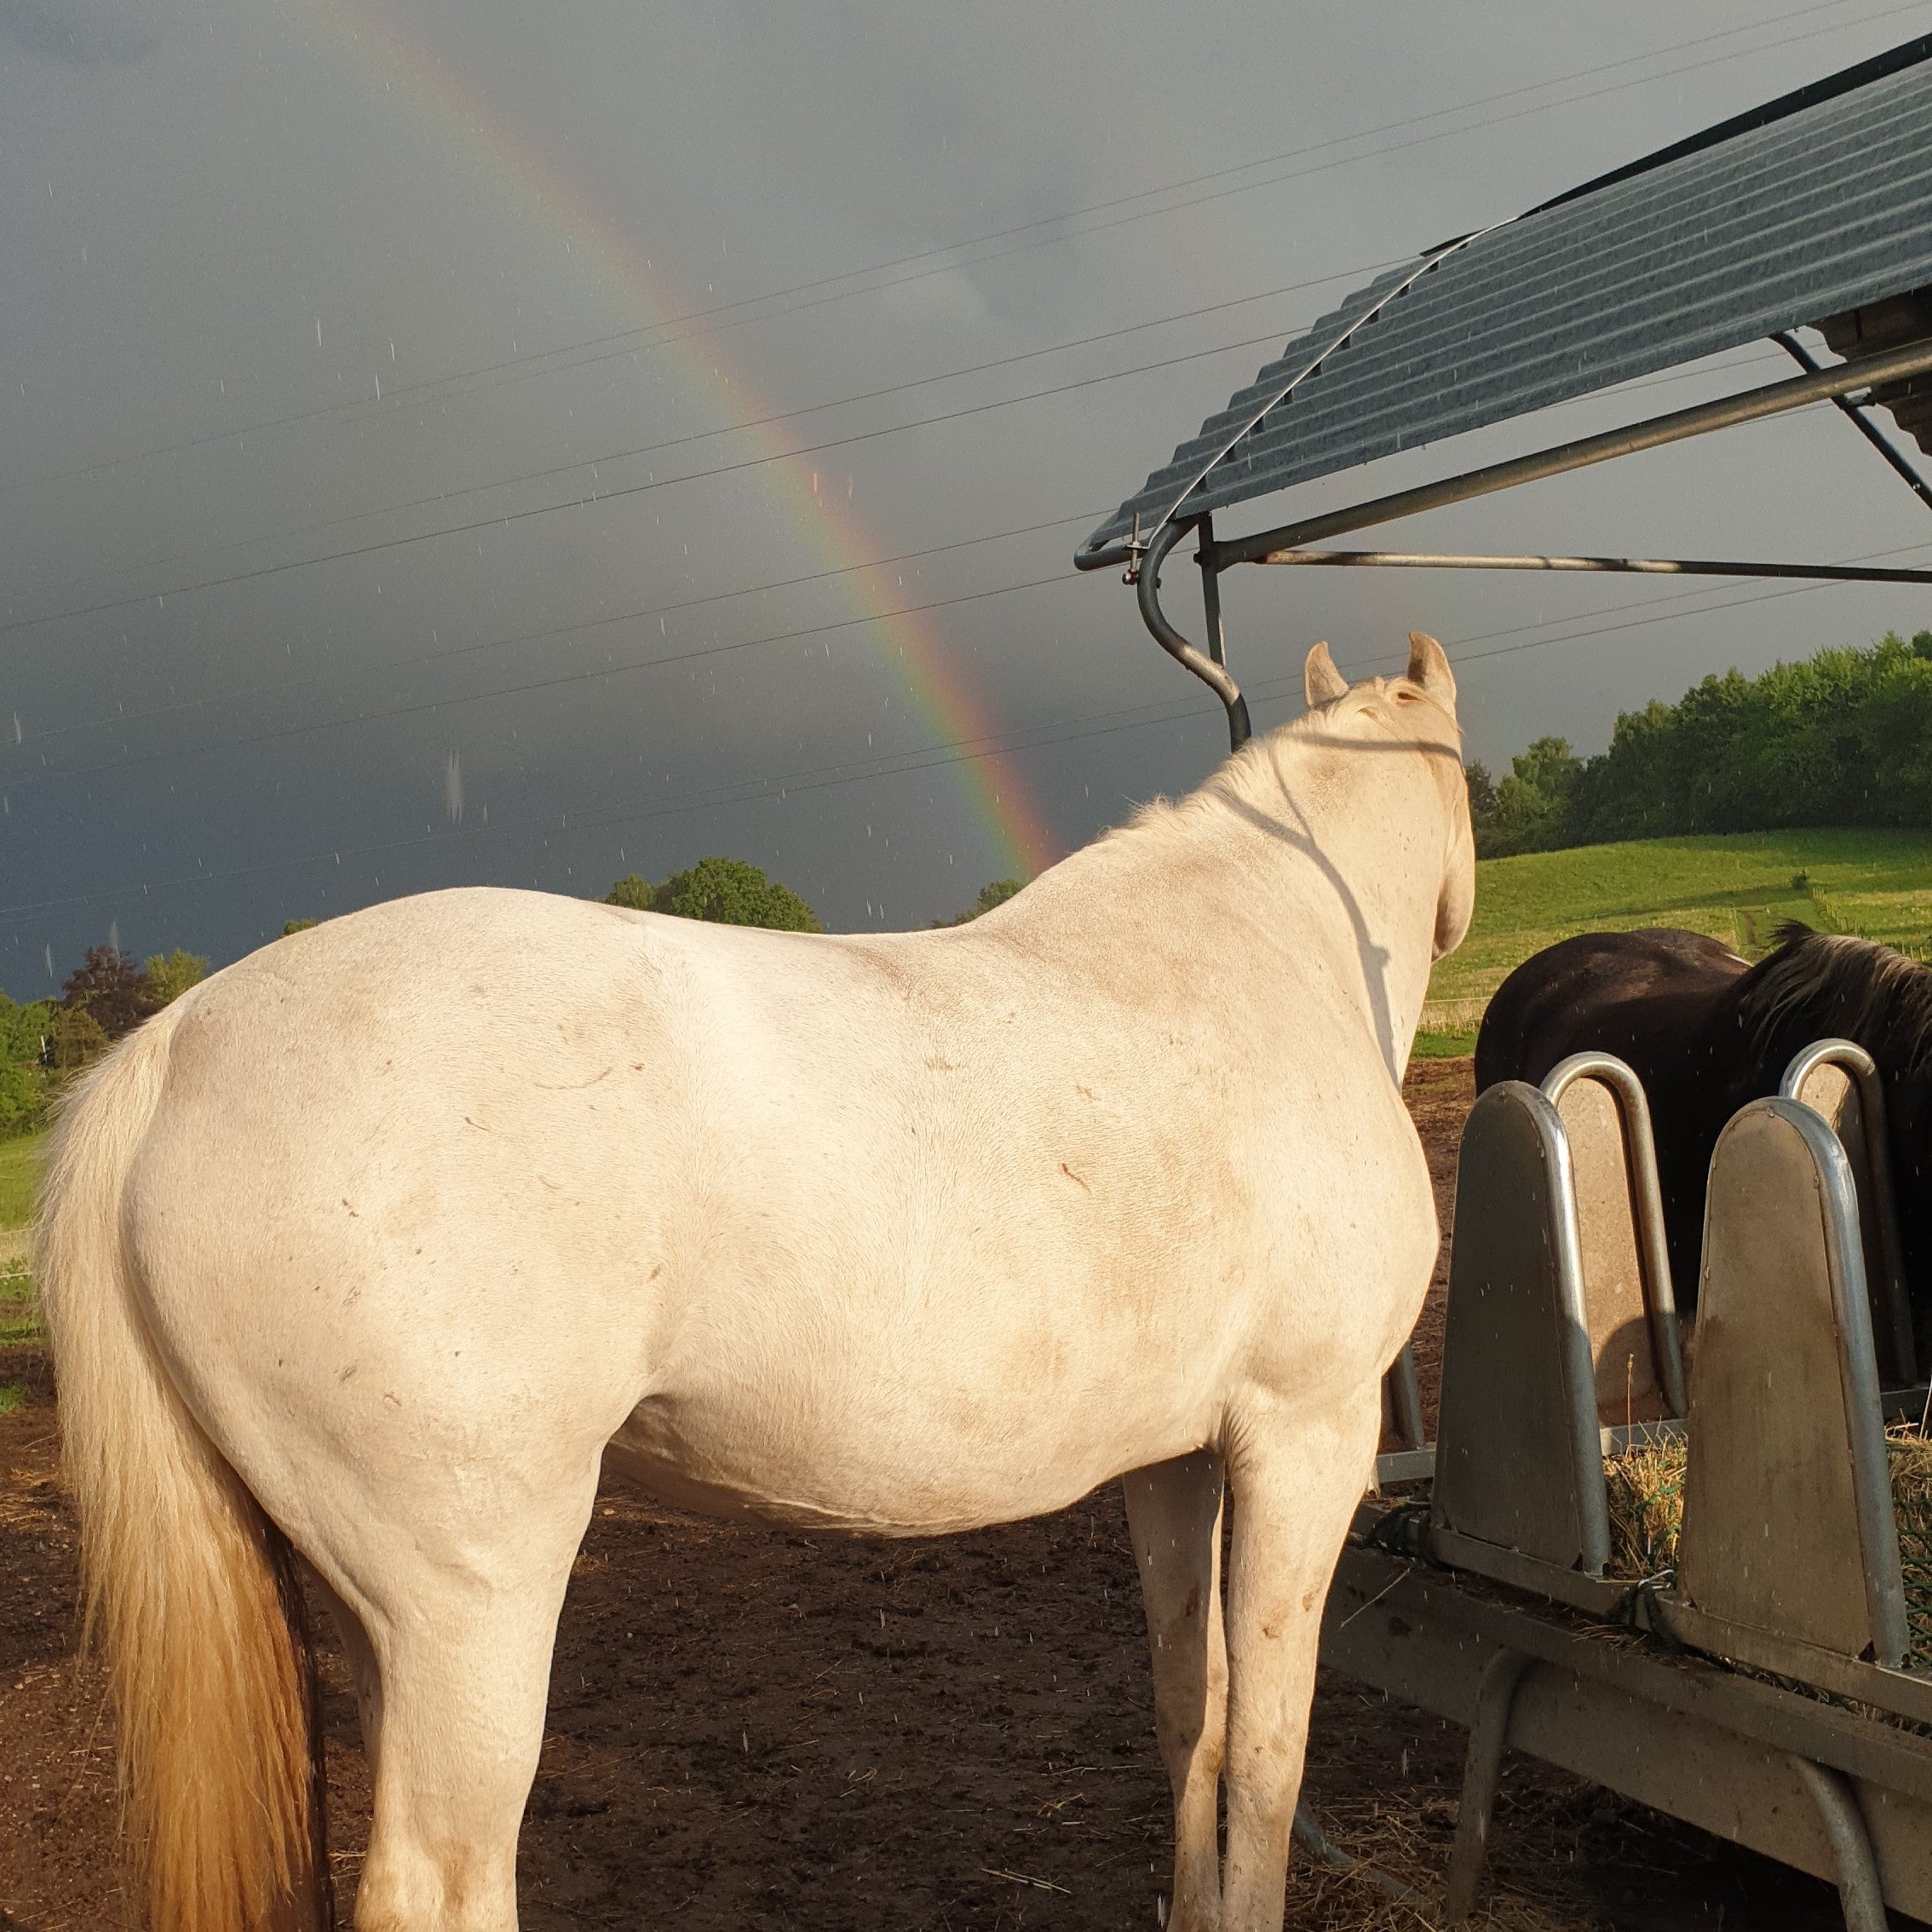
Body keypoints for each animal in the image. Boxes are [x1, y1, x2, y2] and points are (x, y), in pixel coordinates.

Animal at [41, 633, 1460, 1932]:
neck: (1258, 958)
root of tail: (173, 1050)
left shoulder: (1172, 1466)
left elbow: (1194, 1723)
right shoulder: (1306, 1438)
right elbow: (1270, 1759)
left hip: (367, 1612)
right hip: (469, 1609)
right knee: (436, 1884)